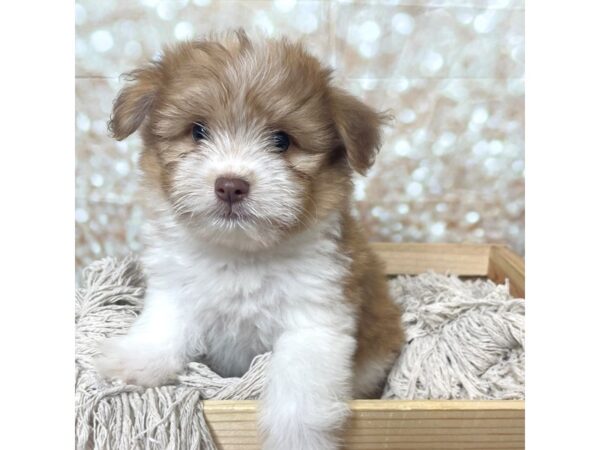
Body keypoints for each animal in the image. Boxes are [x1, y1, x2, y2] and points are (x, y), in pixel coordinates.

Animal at [96, 31, 406, 450]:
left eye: (281, 140)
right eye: (197, 131)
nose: (230, 185)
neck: (242, 253)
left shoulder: (316, 318)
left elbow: (299, 382)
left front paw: (296, 436)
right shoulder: (176, 289)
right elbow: (163, 324)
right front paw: (135, 361)